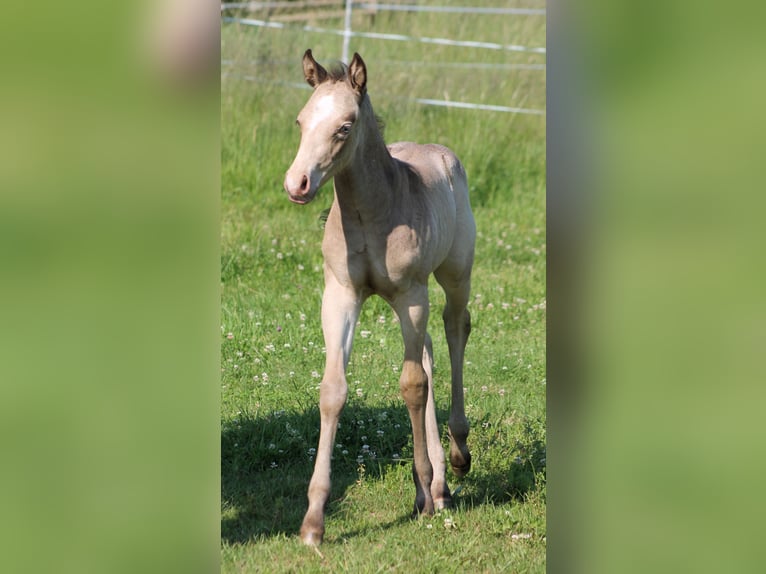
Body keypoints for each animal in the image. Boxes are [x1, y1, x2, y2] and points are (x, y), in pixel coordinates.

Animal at [282, 50, 474, 548]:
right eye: (301, 120)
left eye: (344, 126)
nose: (297, 184)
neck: (370, 215)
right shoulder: (340, 295)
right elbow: (333, 391)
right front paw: (313, 521)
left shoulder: (410, 295)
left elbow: (412, 386)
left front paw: (422, 494)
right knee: (427, 351)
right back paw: (441, 487)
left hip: (453, 274)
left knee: (454, 330)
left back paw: (456, 458)